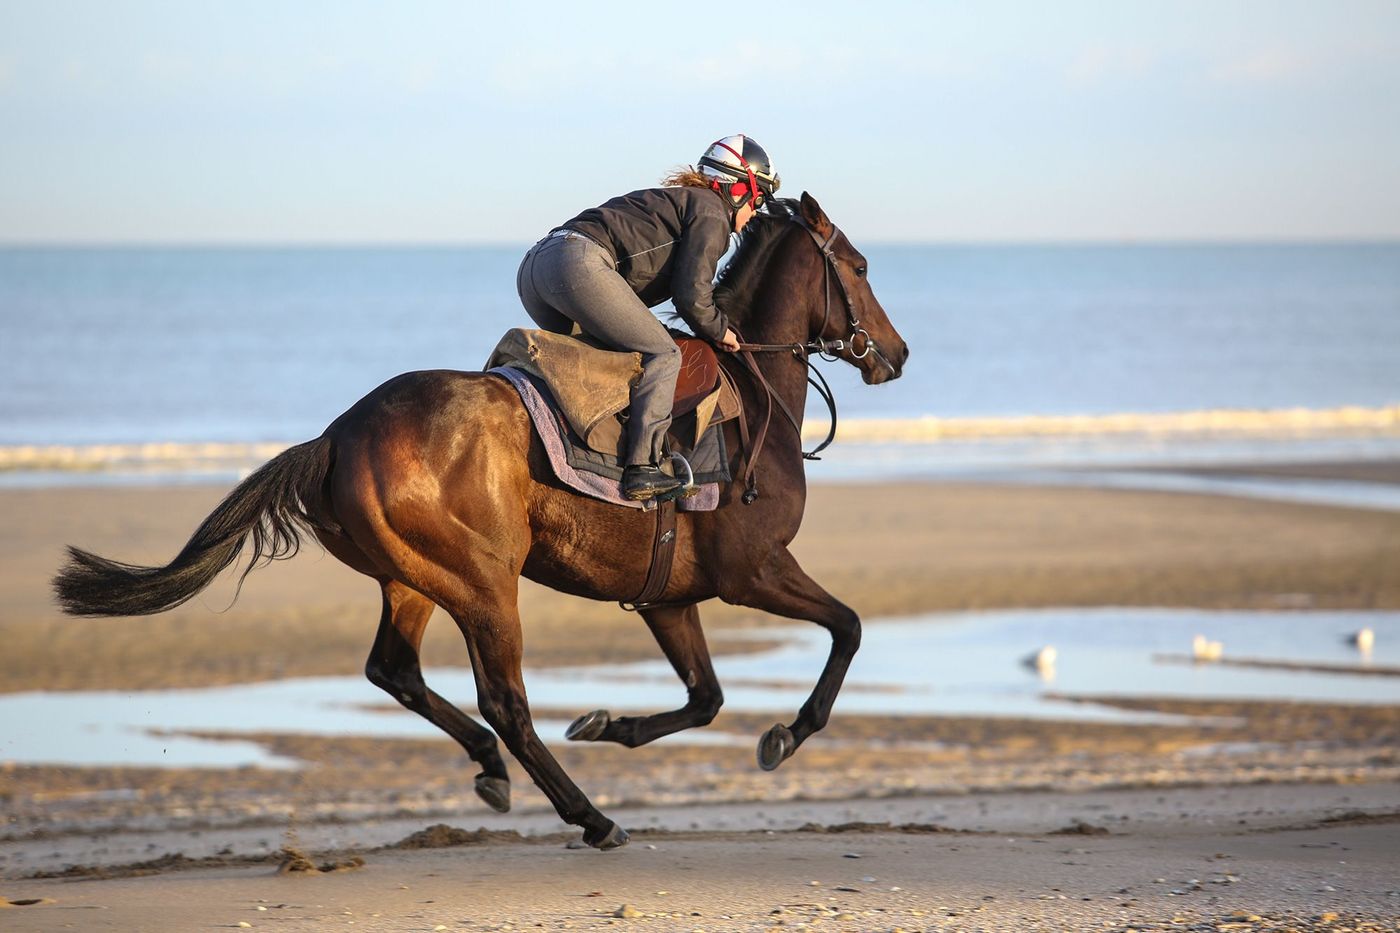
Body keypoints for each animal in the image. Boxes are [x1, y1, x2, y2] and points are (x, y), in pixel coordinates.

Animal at [53, 192, 909, 850]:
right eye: (862, 267)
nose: (895, 354)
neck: (752, 389)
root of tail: (336, 435)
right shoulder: (751, 569)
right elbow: (848, 626)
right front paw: (785, 733)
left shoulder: (667, 594)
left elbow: (707, 696)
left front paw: (606, 722)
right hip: (485, 582)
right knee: (506, 701)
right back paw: (591, 817)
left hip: (413, 577)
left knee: (395, 670)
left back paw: (493, 766)